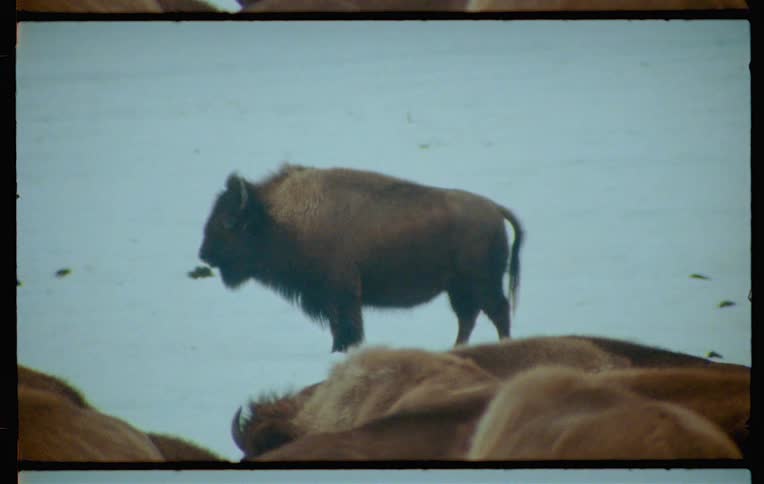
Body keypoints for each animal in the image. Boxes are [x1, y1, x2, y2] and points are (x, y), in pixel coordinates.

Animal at [199, 164, 524, 352]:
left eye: (229, 222)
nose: (204, 254)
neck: (280, 218)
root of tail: (494, 209)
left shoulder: (341, 295)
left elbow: (347, 329)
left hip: (481, 284)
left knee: (497, 312)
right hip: (459, 288)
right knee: (469, 317)